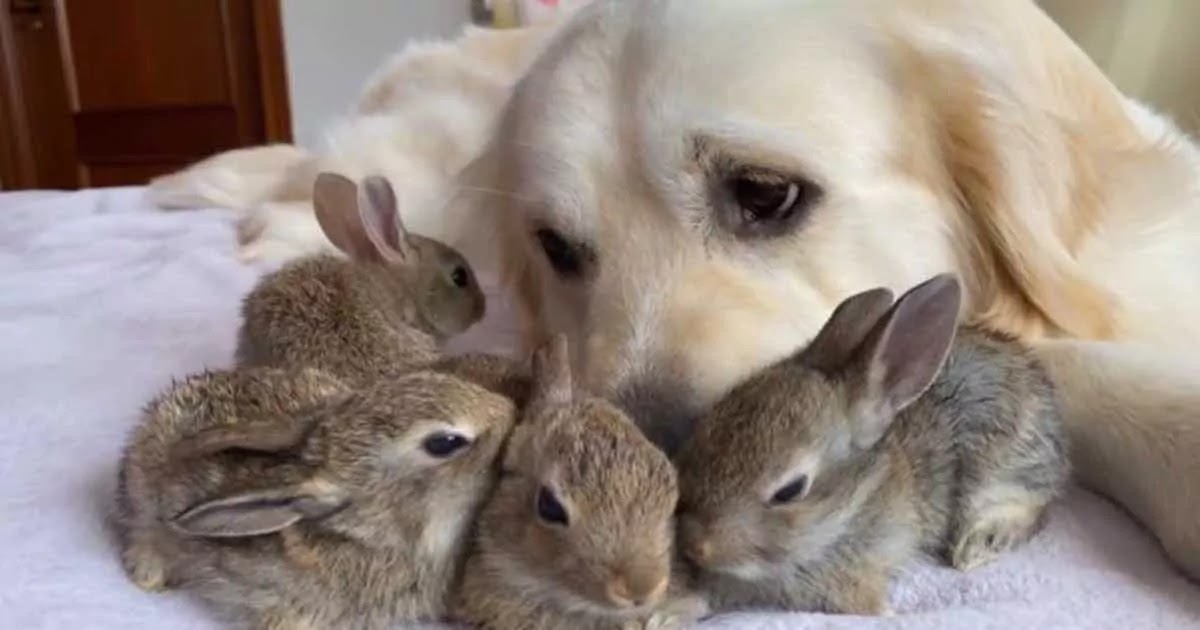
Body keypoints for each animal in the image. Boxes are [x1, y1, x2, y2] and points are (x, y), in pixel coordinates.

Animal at [676, 273, 1070, 614]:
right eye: (699, 437)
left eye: (790, 491)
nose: (694, 543)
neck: (849, 511)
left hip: (1003, 463)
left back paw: (977, 544)